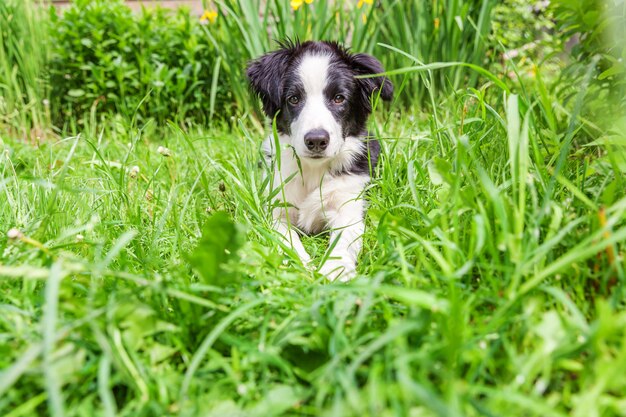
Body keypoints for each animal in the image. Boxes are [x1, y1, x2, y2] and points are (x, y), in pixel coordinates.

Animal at [245, 40, 388, 282]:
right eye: (294, 99)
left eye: (339, 98)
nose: (316, 140)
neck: (313, 170)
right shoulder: (276, 209)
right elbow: (287, 240)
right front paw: (299, 267)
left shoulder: (348, 206)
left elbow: (342, 243)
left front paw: (334, 271)